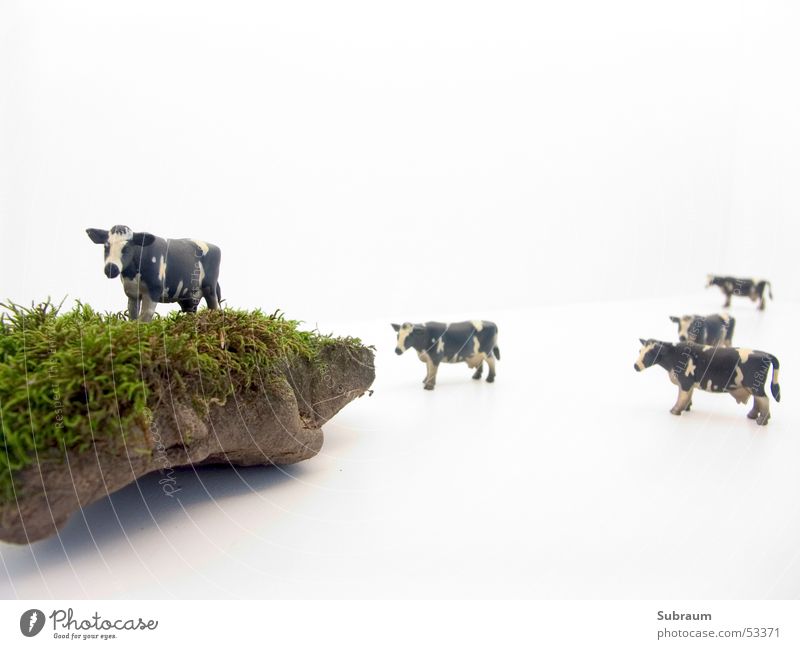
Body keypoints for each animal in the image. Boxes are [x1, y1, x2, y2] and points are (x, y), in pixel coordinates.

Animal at [86, 225, 222, 322]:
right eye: (106, 247)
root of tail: (215, 247)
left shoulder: (154, 290)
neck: (132, 275)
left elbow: (145, 317)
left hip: (210, 287)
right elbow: (133, 316)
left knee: (214, 306)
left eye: (127, 248)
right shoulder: (132, 293)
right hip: (189, 296)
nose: (111, 268)